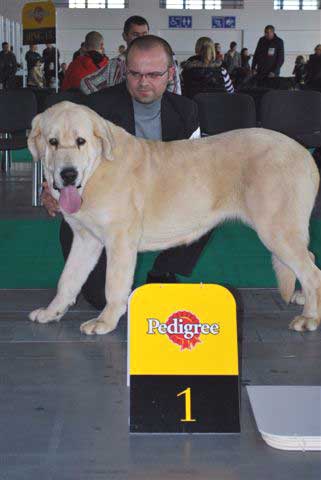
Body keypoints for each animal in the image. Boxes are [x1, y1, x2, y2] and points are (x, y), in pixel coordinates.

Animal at [27, 101, 320, 334]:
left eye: (81, 141)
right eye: (53, 142)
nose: (68, 174)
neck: (97, 170)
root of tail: (304, 153)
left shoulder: (120, 241)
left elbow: (113, 286)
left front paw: (105, 322)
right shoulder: (86, 240)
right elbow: (68, 279)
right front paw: (52, 312)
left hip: (276, 230)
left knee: (311, 271)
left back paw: (309, 318)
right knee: (310, 258)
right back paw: (304, 301)